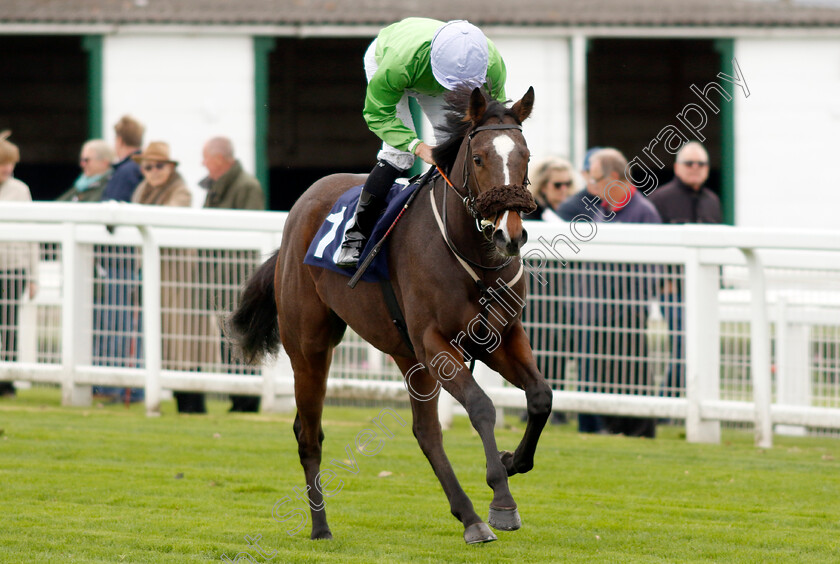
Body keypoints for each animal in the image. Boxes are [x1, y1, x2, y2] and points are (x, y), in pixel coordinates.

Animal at [230, 86, 556, 544]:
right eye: (478, 159)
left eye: (525, 156)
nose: (509, 235)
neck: (470, 253)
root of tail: (301, 207)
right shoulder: (434, 342)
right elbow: (481, 406)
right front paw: (502, 500)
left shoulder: (500, 337)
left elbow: (541, 397)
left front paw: (511, 462)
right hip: (310, 346)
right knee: (308, 433)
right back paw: (320, 527)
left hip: (405, 354)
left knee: (426, 433)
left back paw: (469, 517)